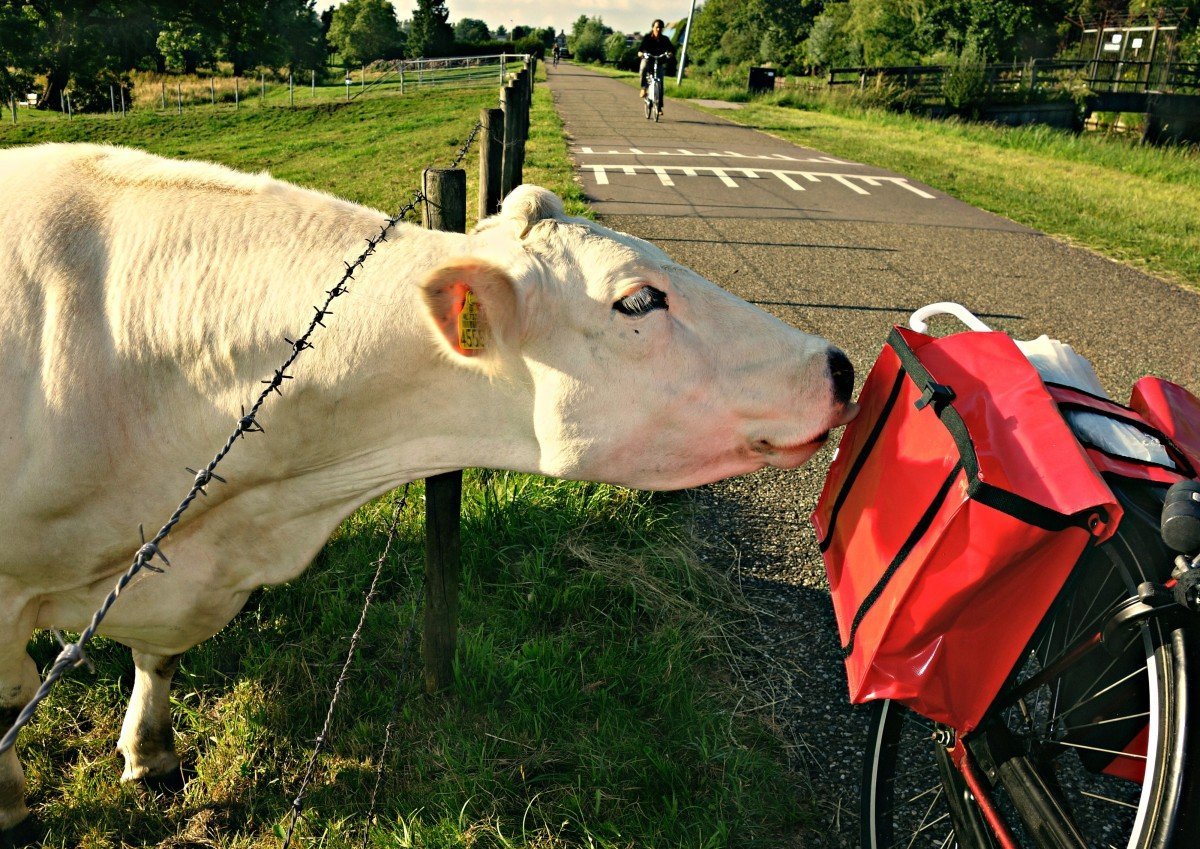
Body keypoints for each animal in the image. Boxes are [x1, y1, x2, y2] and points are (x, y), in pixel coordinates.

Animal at [0, 144, 854, 829]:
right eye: (638, 298)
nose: (839, 366)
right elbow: (14, 697)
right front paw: (14, 806)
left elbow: (160, 658)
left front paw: (151, 755)